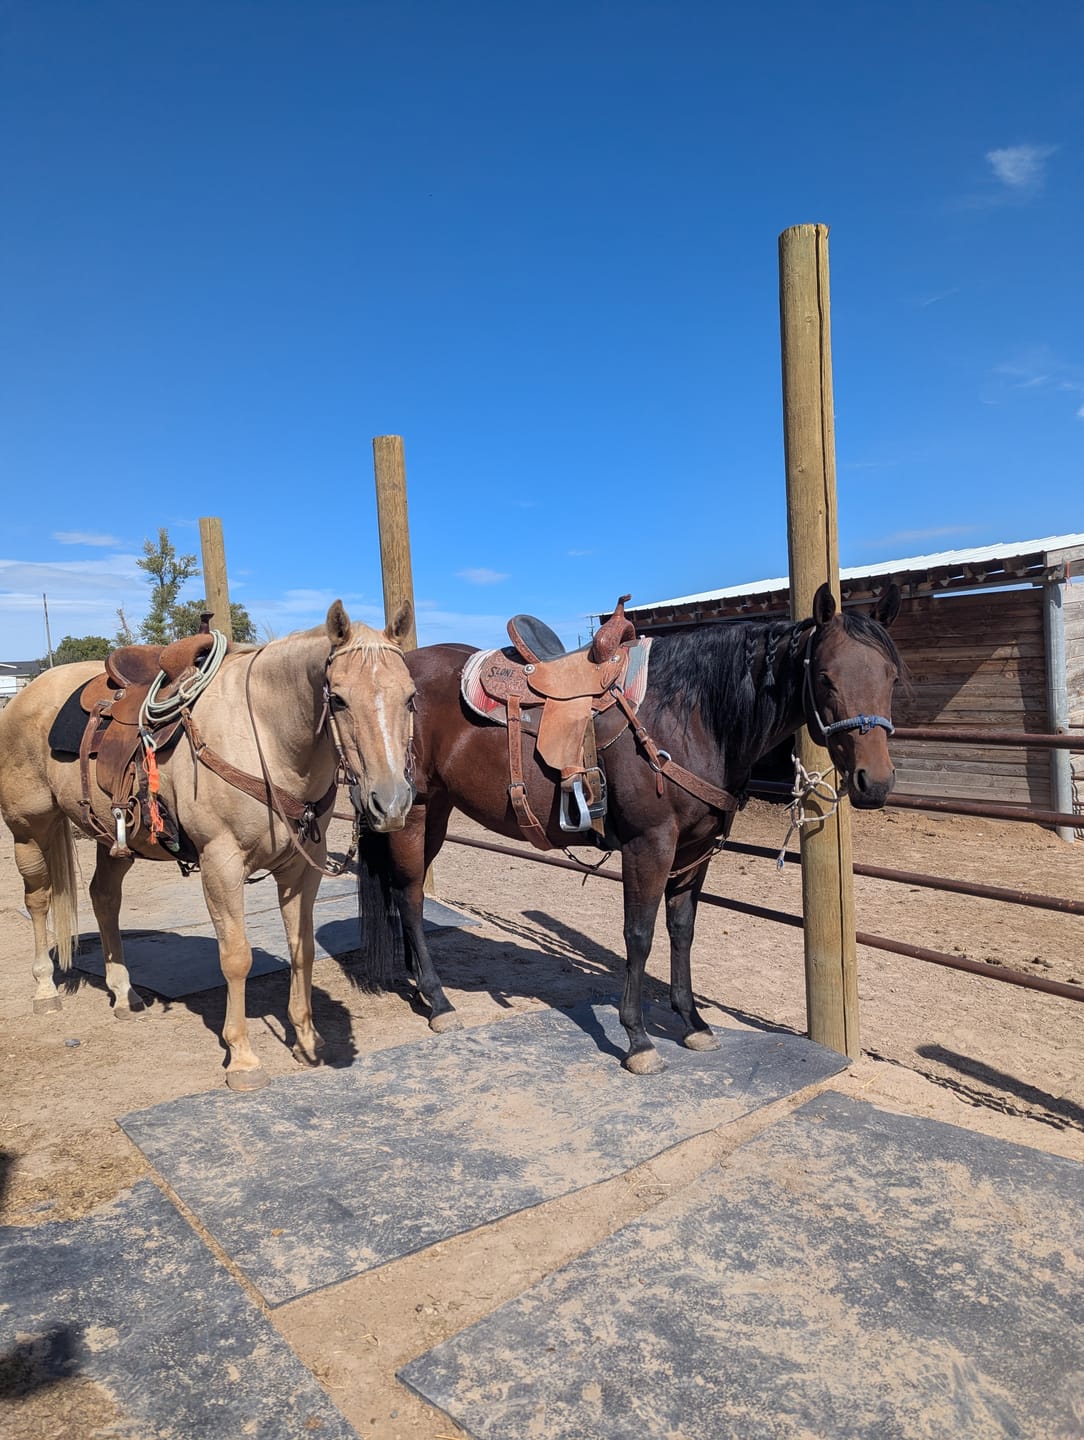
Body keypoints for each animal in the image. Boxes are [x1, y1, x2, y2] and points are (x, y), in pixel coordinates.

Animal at [0, 601, 417, 1090]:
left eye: (411, 697)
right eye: (339, 700)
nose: (391, 802)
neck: (266, 738)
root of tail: (26, 694)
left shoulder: (302, 868)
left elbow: (303, 948)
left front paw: (306, 1039)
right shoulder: (222, 863)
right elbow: (235, 957)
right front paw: (242, 1058)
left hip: (114, 837)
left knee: (103, 897)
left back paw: (124, 994)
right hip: (29, 826)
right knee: (39, 899)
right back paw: (45, 989)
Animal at [357, 582, 902, 1074]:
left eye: (892, 676)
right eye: (826, 677)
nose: (874, 782)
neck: (690, 716)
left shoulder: (695, 850)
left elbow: (682, 931)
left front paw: (692, 1022)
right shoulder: (650, 845)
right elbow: (639, 934)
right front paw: (638, 1039)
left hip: (437, 814)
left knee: (405, 894)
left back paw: (417, 981)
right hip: (414, 812)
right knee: (410, 895)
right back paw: (438, 1000)